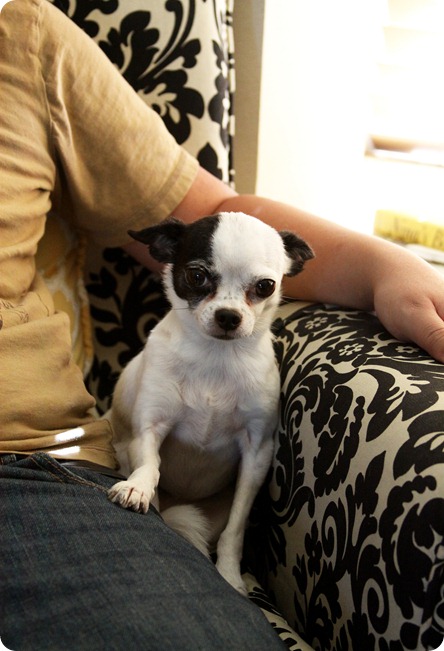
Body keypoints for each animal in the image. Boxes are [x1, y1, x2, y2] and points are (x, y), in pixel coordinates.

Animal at [107, 211, 313, 594]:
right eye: (196, 275)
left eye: (265, 286)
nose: (228, 316)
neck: (215, 359)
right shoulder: (149, 430)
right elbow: (151, 465)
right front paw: (138, 488)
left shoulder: (256, 454)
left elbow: (236, 527)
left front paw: (230, 576)